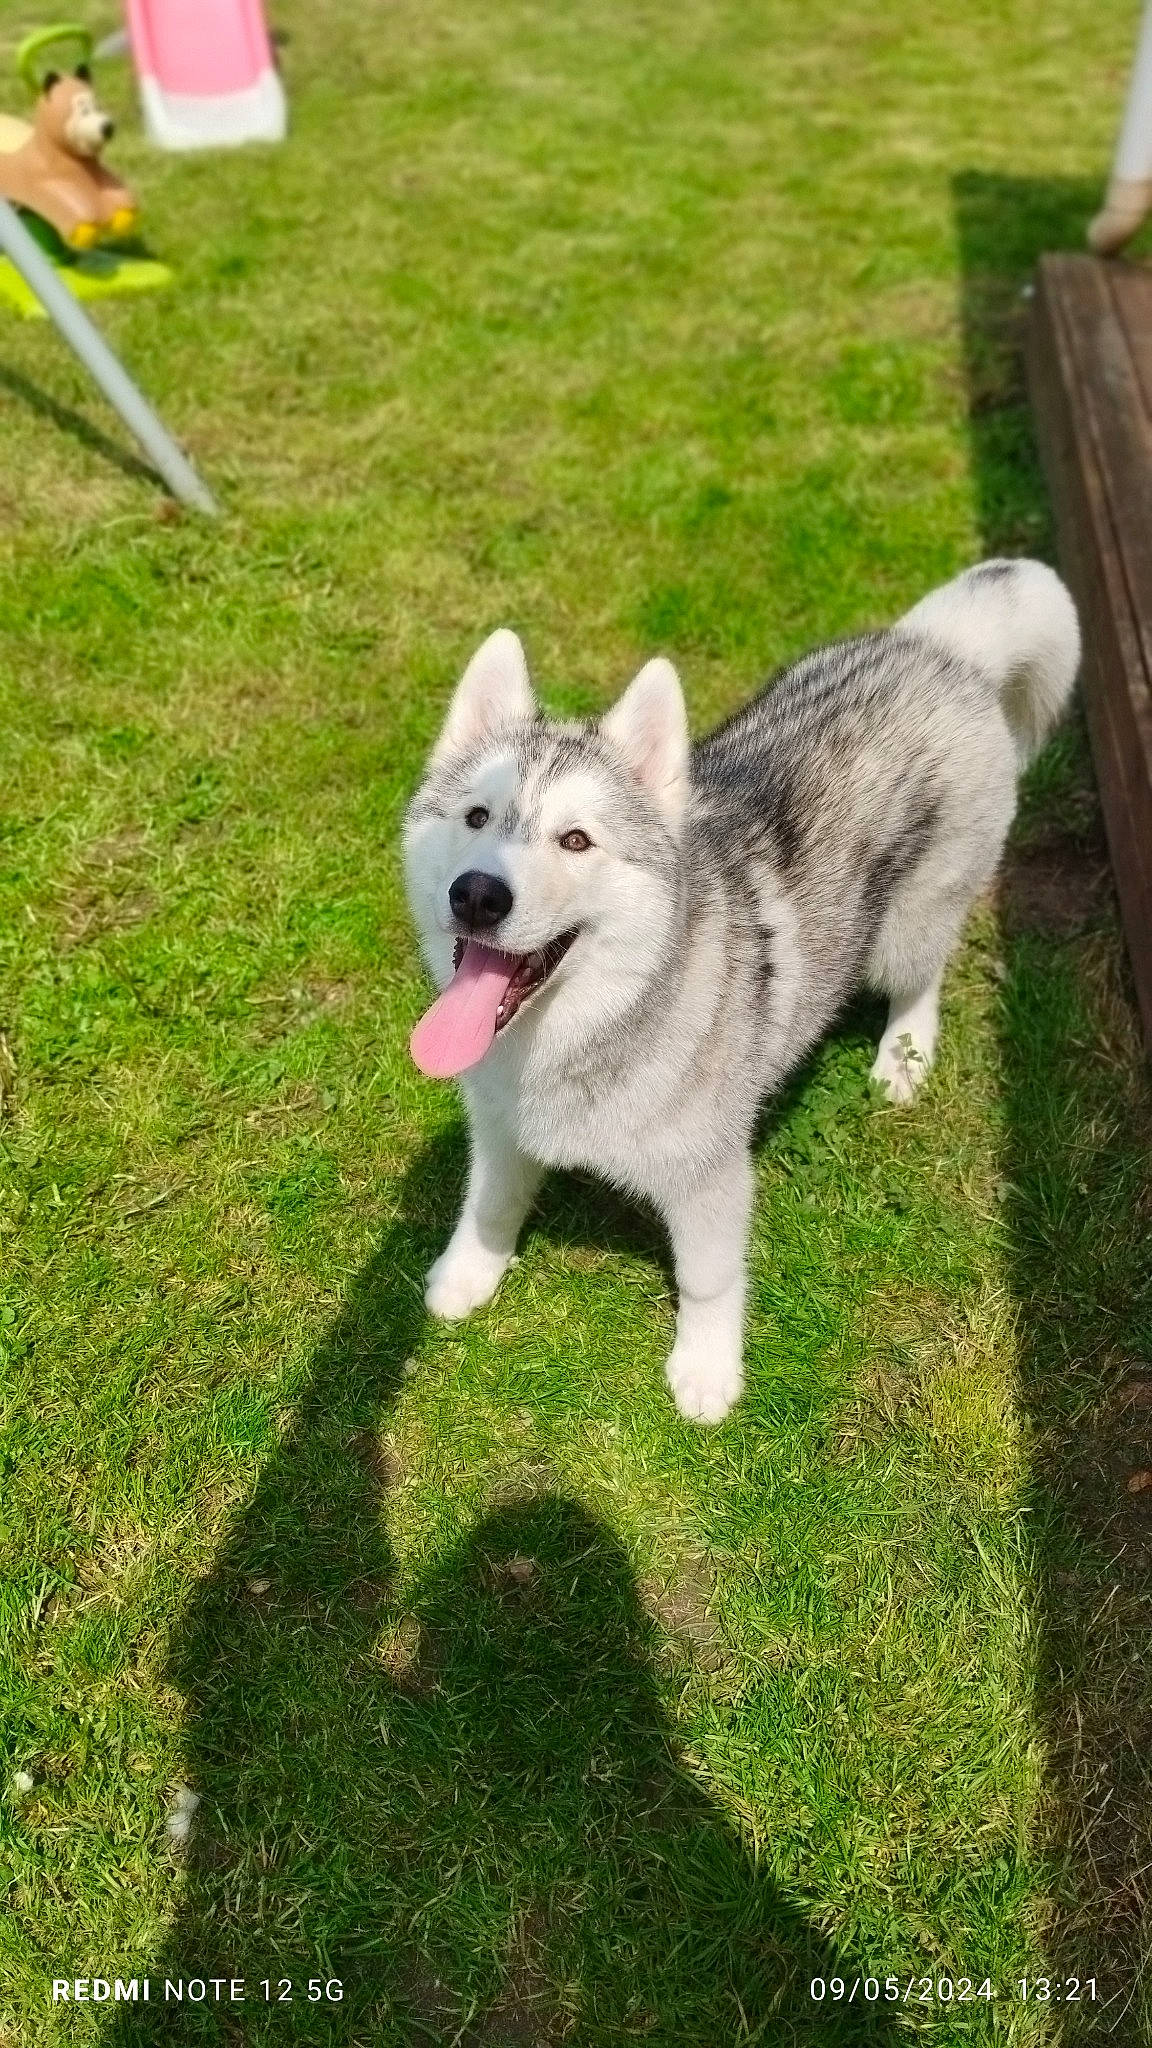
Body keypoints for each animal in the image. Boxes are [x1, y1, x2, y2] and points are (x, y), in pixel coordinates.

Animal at [404, 560, 1080, 1423]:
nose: (478, 895)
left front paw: (706, 1368)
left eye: (576, 840)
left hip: (909, 926)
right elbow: (488, 1203)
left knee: (923, 980)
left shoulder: (711, 1178)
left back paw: (904, 1055)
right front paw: (468, 1274)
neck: (580, 1035)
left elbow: (708, 1280)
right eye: (476, 816)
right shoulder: (498, 1129)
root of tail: (940, 648)